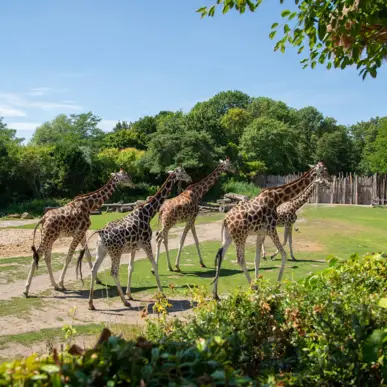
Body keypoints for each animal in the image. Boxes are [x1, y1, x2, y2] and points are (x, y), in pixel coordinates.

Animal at [23, 168, 135, 298]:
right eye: (125, 177)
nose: (133, 184)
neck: (90, 205)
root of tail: (43, 219)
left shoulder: (83, 233)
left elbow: (88, 255)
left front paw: (97, 279)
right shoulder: (79, 232)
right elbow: (69, 256)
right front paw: (62, 283)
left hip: (49, 237)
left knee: (46, 257)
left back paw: (54, 285)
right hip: (49, 236)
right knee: (38, 254)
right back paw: (27, 290)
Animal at [76, 165, 192, 310]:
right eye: (182, 172)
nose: (190, 178)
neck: (148, 213)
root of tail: (100, 232)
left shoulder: (133, 248)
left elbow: (131, 268)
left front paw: (129, 294)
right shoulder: (146, 242)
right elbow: (155, 265)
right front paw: (162, 294)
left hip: (101, 251)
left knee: (94, 269)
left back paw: (91, 304)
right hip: (116, 252)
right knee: (113, 272)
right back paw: (124, 302)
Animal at [211, 161, 332, 300]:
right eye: (325, 170)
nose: (330, 181)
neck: (278, 198)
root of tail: (225, 219)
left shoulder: (262, 232)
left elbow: (257, 260)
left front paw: (260, 283)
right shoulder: (271, 229)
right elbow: (284, 254)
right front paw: (277, 286)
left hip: (229, 237)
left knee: (220, 255)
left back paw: (215, 294)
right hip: (241, 236)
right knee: (240, 260)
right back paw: (252, 286)